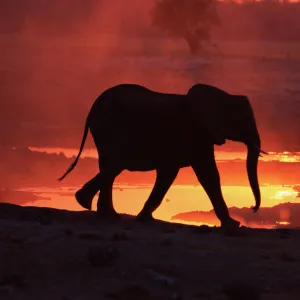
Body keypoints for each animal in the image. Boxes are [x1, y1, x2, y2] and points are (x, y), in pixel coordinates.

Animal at [59, 83, 266, 229]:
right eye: (242, 120)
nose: (253, 209)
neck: (220, 95)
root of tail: (91, 111)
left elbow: (191, 174)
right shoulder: (194, 133)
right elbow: (204, 175)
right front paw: (233, 226)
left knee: (111, 167)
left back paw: (90, 205)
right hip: (109, 129)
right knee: (113, 165)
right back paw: (100, 210)